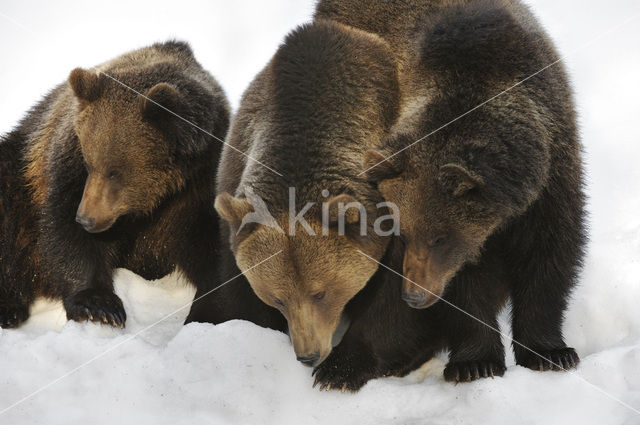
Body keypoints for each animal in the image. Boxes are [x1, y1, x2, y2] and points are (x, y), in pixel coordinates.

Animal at [0, 41, 230, 328]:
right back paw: (10, 308)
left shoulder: (203, 178)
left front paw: (209, 311)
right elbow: (66, 230)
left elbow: (211, 241)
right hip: (19, 177)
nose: (86, 218)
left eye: (115, 172)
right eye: (89, 163)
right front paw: (99, 306)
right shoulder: (67, 163)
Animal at [360, 0, 584, 380]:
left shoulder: (553, 177)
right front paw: (475, 363)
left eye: (439, 237)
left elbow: (550, 256)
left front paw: (550, 353)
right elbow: (464, 288)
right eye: (402, 235)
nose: (414, 296)